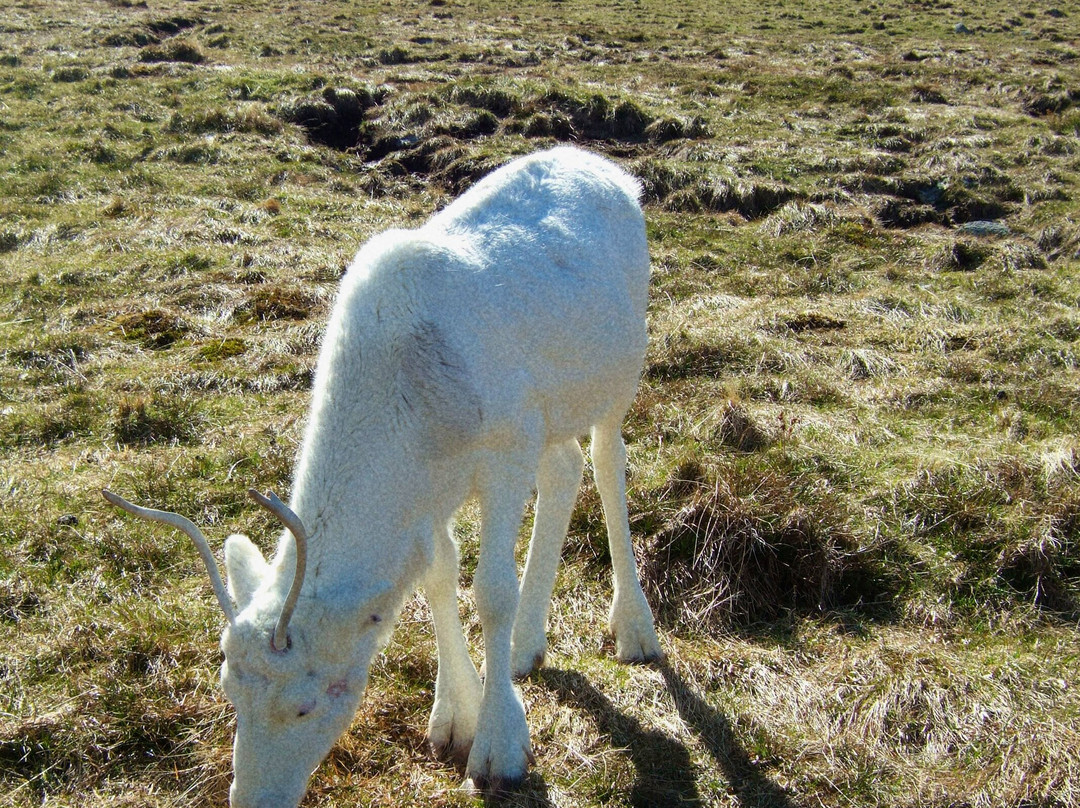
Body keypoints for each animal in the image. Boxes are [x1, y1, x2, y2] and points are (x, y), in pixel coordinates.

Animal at [103, 146, 662, 808]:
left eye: (305, 705)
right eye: (227, 689)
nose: (252, 801)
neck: (411, 402)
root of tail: (606, 167)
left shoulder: (508, 447)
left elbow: (490, 590)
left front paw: (499, 747)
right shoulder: (432, 490)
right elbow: (437, 576)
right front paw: (452, 718)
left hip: (618, 376)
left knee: (605, 464)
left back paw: (633, 629)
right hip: (553, 411)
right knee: (565, 468)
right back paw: (528, 645)